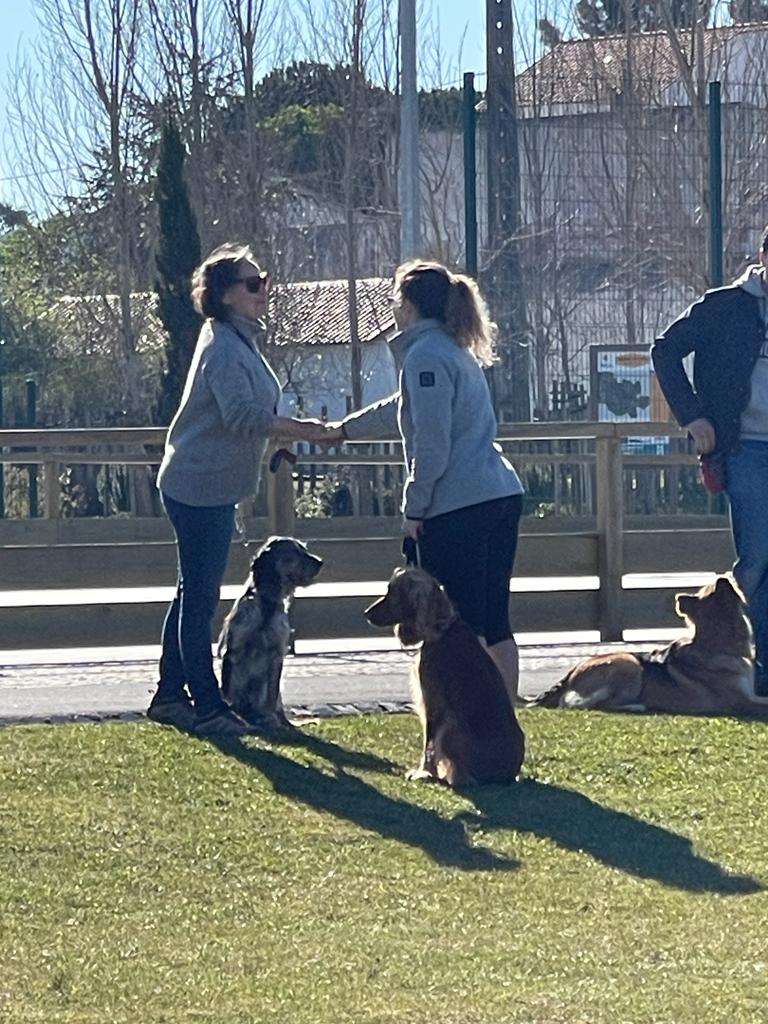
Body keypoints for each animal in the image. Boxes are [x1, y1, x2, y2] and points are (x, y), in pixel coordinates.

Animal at [218, 536, 323, 729]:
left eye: (304, 549)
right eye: (295, 552)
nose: (321, 562)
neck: (266, 604)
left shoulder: (277, 654)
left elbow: (272, 695)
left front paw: (271, 718)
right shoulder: (233, 651)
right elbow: (230, 693)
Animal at [364, 569, 524, 782]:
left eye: (393, 592)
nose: (366, 613)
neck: (442, 629)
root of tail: (509, 775)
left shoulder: (432, 704)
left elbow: (428, 744)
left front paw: (422, 772)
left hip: (451, 724)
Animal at [528, 577, 768, 712]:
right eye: (712, 591)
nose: (722, 579)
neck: (717, 643)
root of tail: (570, 675)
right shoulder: (741, 702)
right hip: (629, 664)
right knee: (584, 704)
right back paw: (637, 705)